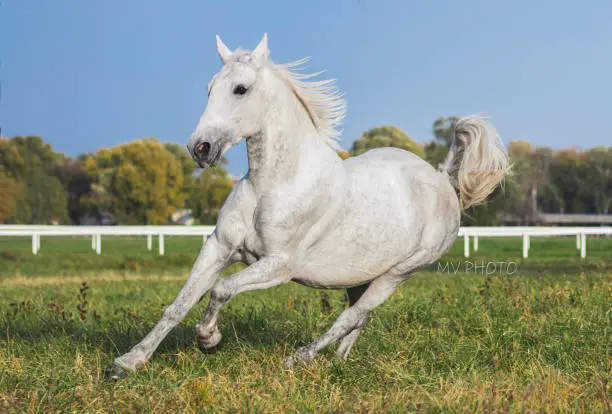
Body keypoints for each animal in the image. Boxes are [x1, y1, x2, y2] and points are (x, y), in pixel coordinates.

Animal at [104, 34, 506, 378]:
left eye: (240, 89)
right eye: (209, 89)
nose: (200, 148)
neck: (274, 185)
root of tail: (442, 180)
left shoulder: (279, 265)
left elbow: (221, 289)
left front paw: (209, 340)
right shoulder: (218, 247)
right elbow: (178, 304)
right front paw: (125, 364)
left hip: (398, 274)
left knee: (351, 317)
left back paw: (299, 359)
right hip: (360, 277)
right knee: (357, 318)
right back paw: (337, 363)